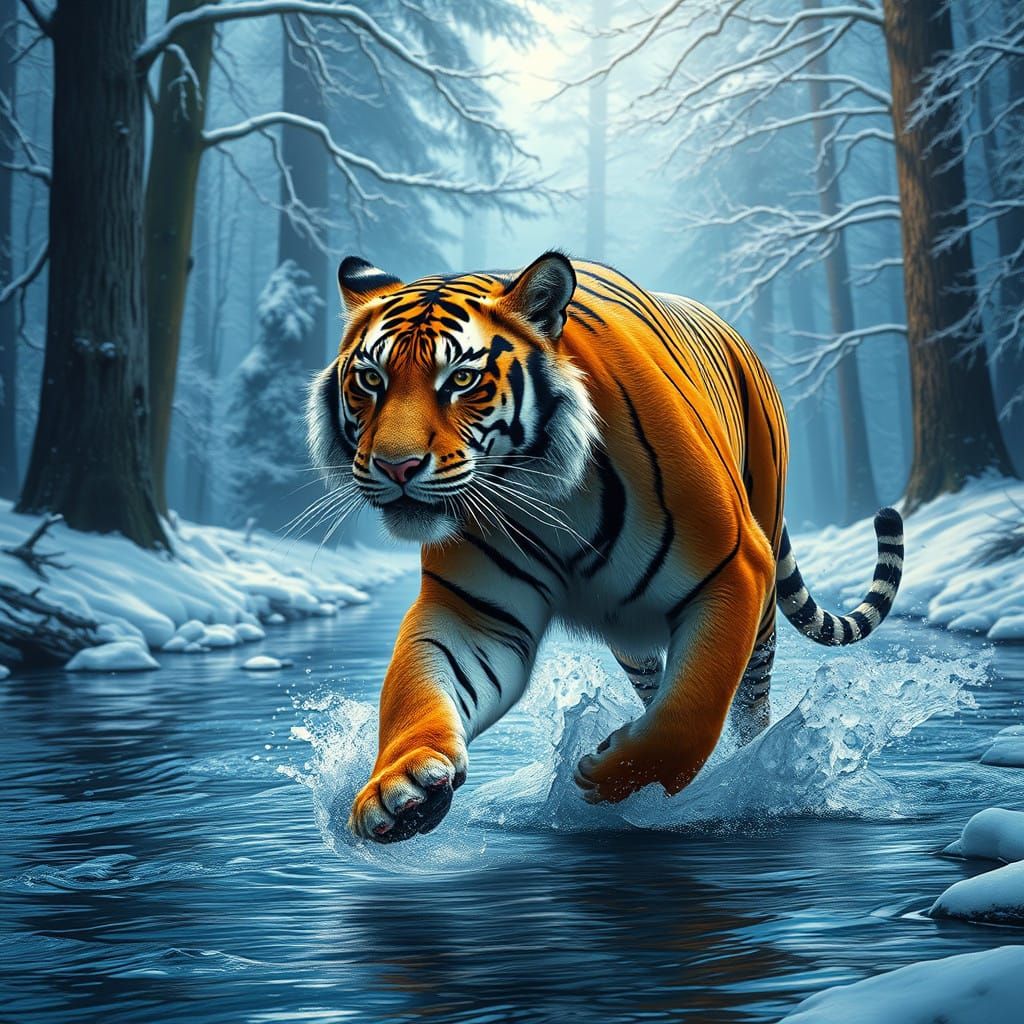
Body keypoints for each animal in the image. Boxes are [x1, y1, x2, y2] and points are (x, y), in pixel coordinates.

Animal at [307, 251, 905, 843]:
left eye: (462, 379)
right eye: (370, 379)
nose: (396, 466)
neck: (544, 487)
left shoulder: (734, 568)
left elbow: (694, 706)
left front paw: (613, 774)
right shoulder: (474, 610)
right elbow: (418, 689)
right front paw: (400, 787)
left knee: (747, 703)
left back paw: (746, 767)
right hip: (629, 626)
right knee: (655, 680)